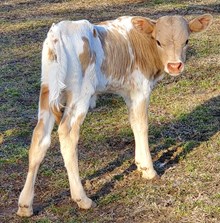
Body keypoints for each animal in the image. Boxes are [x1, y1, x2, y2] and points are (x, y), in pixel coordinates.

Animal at [17, 13, 213, 216]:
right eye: (159, 41)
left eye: (186, 41)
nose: (175, 66)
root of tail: (59, 31)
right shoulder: (141, 90)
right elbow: (142, 125)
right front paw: (149, 170)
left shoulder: (129, 92)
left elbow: (134, 123)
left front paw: (140, 165)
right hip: (80, 93)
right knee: (67, 134)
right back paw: (82, 199)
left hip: (47, 90)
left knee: (39, 137)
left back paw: (25, 205)